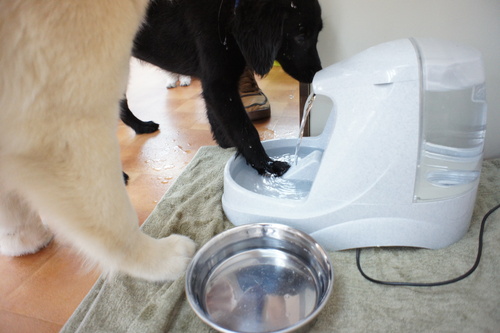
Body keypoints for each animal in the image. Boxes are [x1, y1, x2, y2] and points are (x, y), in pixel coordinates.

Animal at [123, 0, 322, 175]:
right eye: (300, 37)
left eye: (318, 34)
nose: (317, 72)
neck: (229, 13)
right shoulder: (218, 85)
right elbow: (245, 130)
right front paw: (266, 165)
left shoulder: (215, 84)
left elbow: (220, 120)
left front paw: (227, 146)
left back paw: (141, 127)